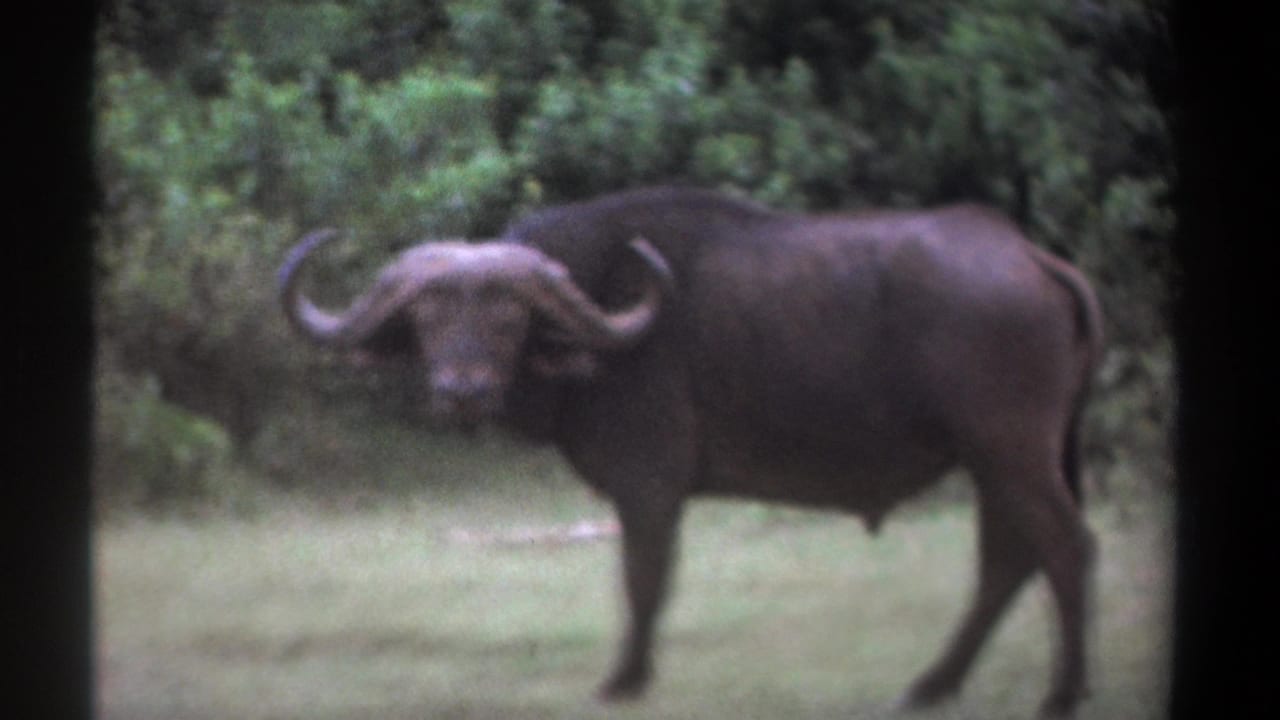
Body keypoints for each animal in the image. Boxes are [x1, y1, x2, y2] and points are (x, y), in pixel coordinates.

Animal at [278, 186, 1104, 717]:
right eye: (427, 317)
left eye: (508, 316)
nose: (461, 390)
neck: (605, 330)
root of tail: (1031, 257)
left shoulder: (648, 483)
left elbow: (644, 578)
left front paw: (624, 680)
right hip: (998, 462)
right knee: (1007, 561)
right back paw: (930, 686)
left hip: (1012, 451)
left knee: (1064, 546)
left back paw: (1061, 693)